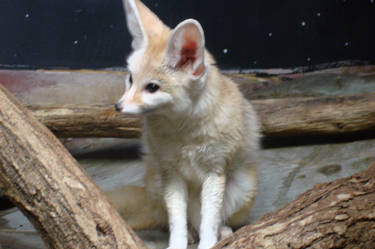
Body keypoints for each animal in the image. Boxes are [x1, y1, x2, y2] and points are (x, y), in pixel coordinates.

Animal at [114, 0, 262, 248]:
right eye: (130, 79)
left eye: (152, 87)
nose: (118, 106)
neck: (184, 133)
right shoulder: (171, 175)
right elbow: (177, 223)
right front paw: (177, 244)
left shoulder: (215, 172)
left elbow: (209, 221)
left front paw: (209, 242)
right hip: (157, 184)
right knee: (183, 220)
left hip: (241, 189)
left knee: (213, 219)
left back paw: (223, 232)